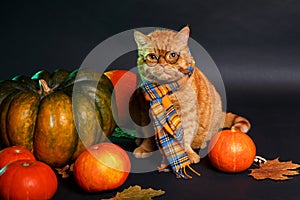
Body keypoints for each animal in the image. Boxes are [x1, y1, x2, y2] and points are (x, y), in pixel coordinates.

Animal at [129, 26, 251, 163]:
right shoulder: (145, 112)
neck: (166, 90)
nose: (163, 64)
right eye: (152, 56)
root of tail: (221, 114)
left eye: (173, 55)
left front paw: (187, 153)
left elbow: (185, 134)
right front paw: (145, 148)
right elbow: (148, 137)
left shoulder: (188, 113)